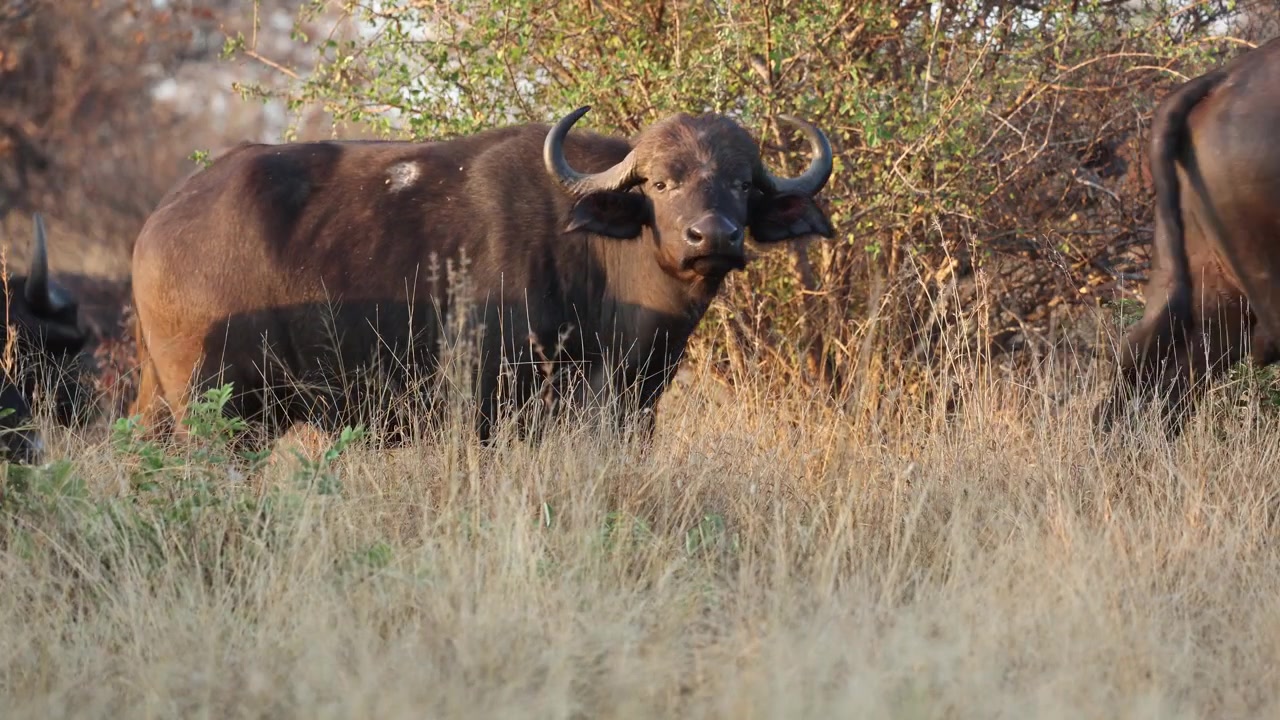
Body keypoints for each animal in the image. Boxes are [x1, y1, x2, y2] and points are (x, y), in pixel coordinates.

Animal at [128, 106, 834, 446]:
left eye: (741, 184)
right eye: (661, 183)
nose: (713, 236)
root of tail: (158, 223)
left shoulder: (632, 413)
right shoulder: (492, 408)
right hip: (220, 412)